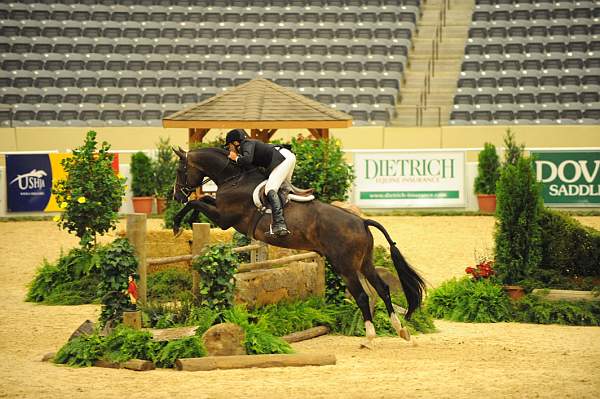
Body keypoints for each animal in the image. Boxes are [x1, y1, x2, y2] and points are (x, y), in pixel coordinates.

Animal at [172, 147, 426, 346]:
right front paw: (183, 219)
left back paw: (370, 338)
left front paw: (176, 224)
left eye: (180, 170)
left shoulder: (225, 219)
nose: (176, 196)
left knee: (363, 296)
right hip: (364, 263)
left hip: (345, 266)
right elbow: (202, 200)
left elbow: (197, 202)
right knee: (382, 289)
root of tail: (361, 222)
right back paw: (401, 331)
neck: (234, 179)